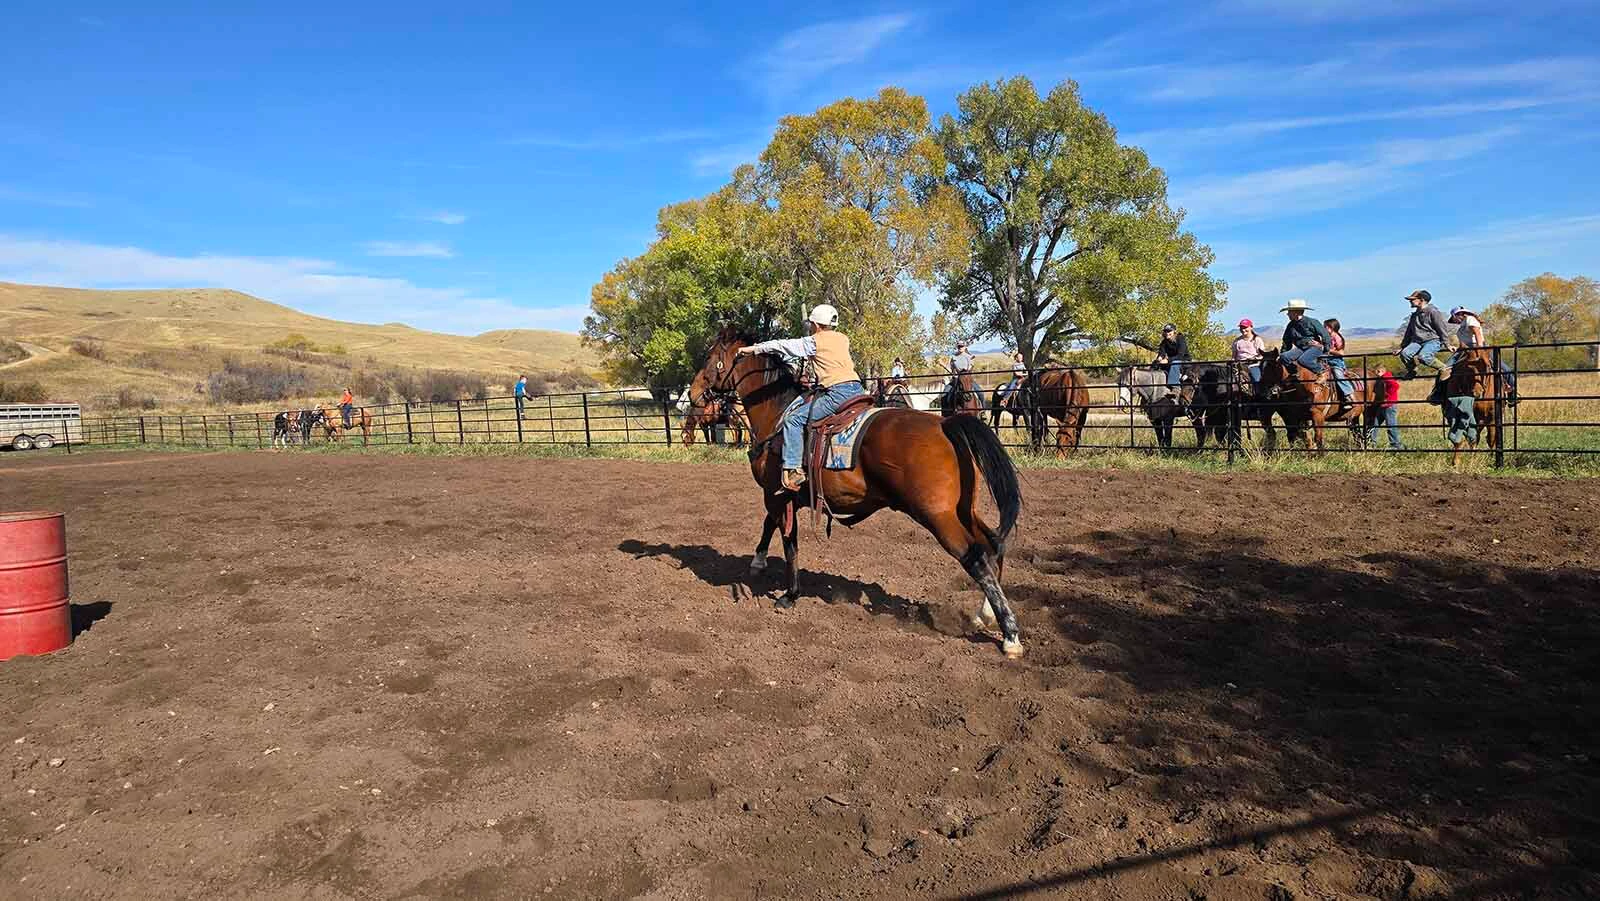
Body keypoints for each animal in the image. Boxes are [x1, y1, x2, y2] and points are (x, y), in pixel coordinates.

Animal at [691, 327, 1027, 658]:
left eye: (710, 357)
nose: (693, 394)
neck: (778, 413)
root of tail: (946, 424)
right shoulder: (785, 496)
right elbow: (769, 524)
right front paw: (758, 561)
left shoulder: (777, 493)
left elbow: (789, 542)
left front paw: (790, 594)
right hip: (963, 509)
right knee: (994, 544)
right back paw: (984, 615)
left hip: (938, 516)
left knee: (975, 558)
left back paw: (1010, 635)